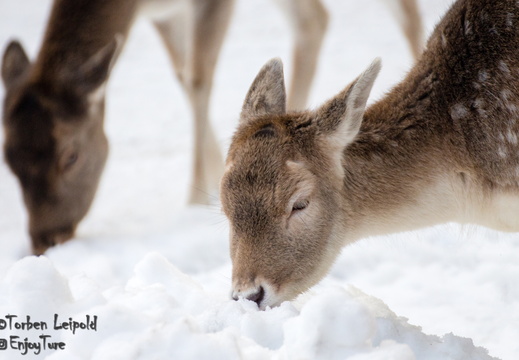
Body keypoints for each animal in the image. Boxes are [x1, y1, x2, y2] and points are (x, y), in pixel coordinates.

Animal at [0, 0, 422, 256]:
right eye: (8, 159)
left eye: (71, 156)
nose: (45, 240)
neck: (138, 5)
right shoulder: (164, 13)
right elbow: (184, 75)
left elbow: (199, 76)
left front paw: (194, 197)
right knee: (314, 20)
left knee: (404, 13)